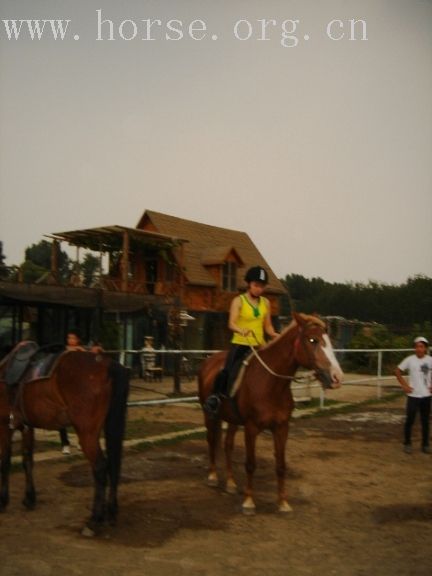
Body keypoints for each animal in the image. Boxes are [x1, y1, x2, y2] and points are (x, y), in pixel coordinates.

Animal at [0, 342, 129, 536]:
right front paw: (29, 498)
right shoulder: (27, 427)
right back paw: (111, 513)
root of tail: (108, 365)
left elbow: (5, 461)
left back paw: (94, 520)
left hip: (87, 433)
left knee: (100, 467)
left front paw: (3, 500)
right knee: (114, 464)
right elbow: (27, 461)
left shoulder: (4, 425)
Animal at [199, 312, 344, 516]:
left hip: (232, 419)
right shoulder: (251, 428)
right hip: (209, 414)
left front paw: (283, 503)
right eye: (312, 340)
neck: (271, 384)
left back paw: (231, 483)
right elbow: (250, 464)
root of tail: (208, 361)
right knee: (212, 440)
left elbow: (281, 466)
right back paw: (212, 477)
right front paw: (249, 502)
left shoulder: (282, 427)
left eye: (328, 340)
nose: (337, 377)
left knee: (227, 446)